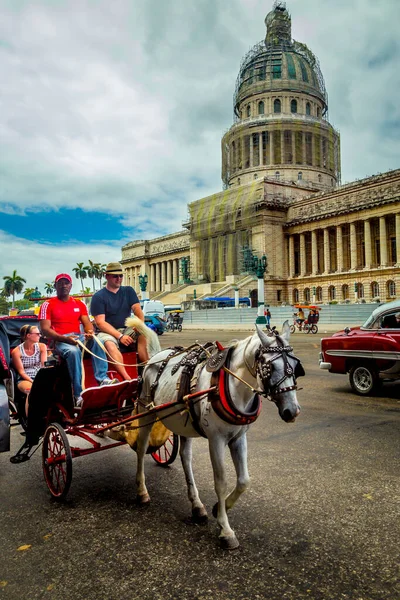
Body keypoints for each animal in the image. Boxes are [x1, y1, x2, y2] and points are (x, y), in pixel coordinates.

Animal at [131, 322, 304, 552]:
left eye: (295, 366)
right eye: (269, 367)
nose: (292, 411)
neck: (231, 386)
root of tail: (155, 357)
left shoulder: (239, 438)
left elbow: (244, 480)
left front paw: (217, 509)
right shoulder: (216, 440)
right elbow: (221, 482)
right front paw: (225, 529)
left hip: (183, 422)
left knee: (185, 457)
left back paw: (197, 505)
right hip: (146, 412)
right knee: (141, 449)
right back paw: (142, 491)